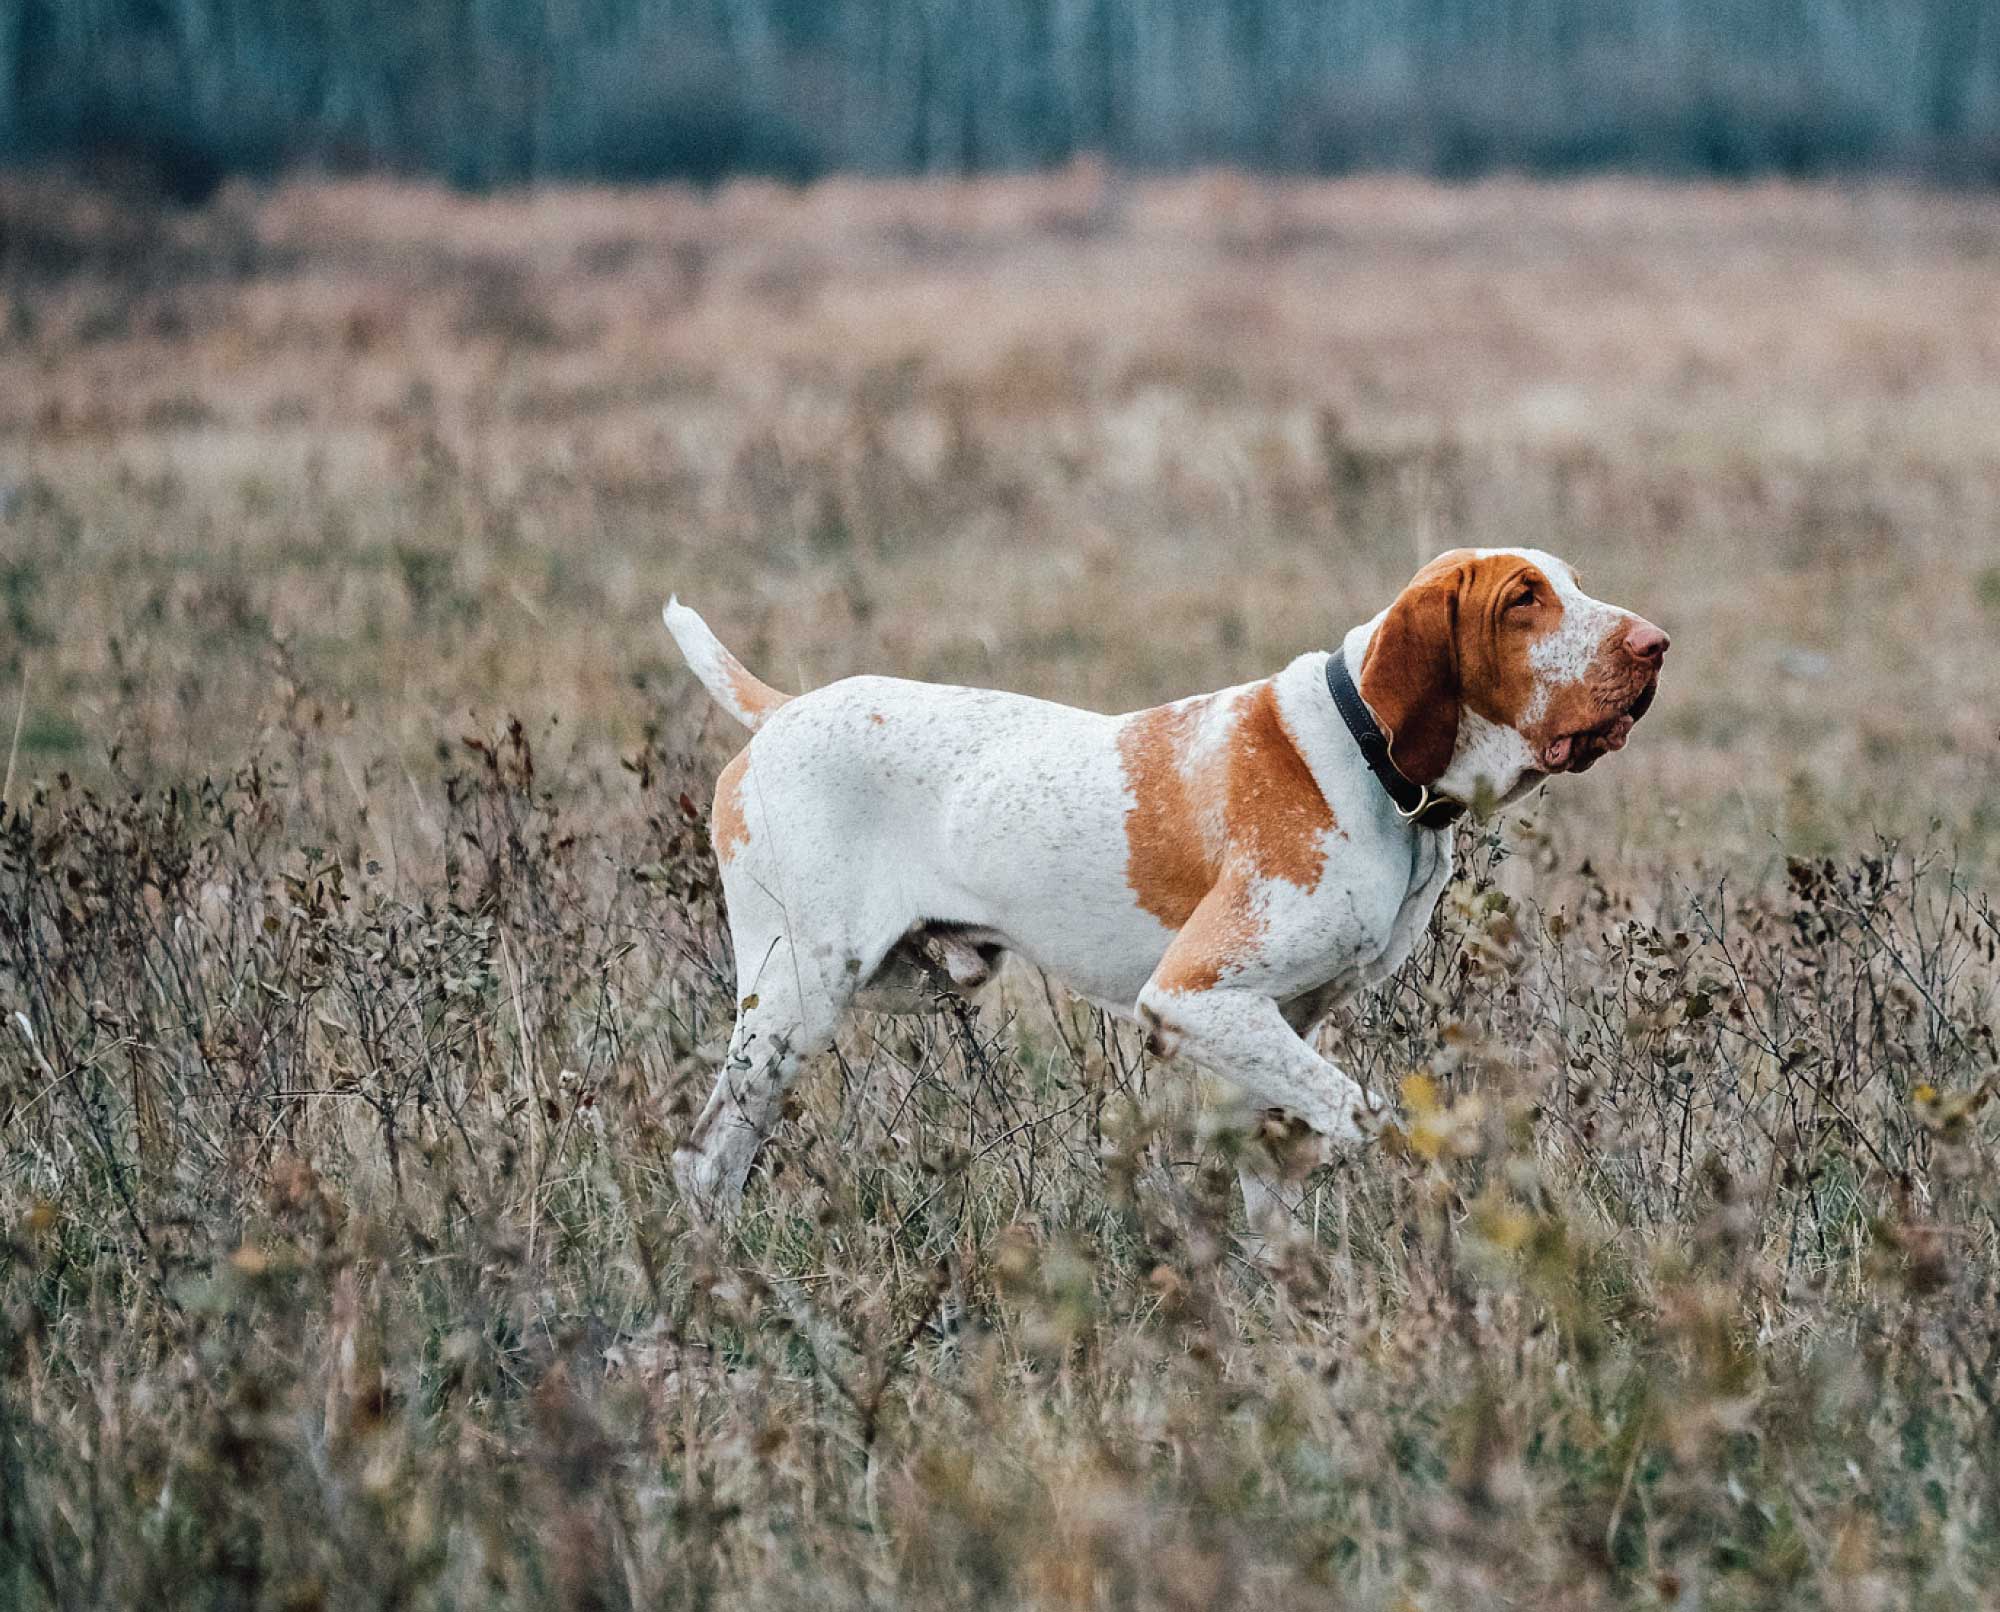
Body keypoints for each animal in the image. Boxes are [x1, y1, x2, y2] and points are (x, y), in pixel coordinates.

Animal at [664, 548, 1664, 1232]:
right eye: (1525, 599)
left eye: (1570, 585)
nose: (1656, 645)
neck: (1368, 757)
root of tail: (781, 712)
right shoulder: (1192, 999)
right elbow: (1364, 1119)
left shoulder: (1276, 1023)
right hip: (794, 1002)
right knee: (704, 1156)